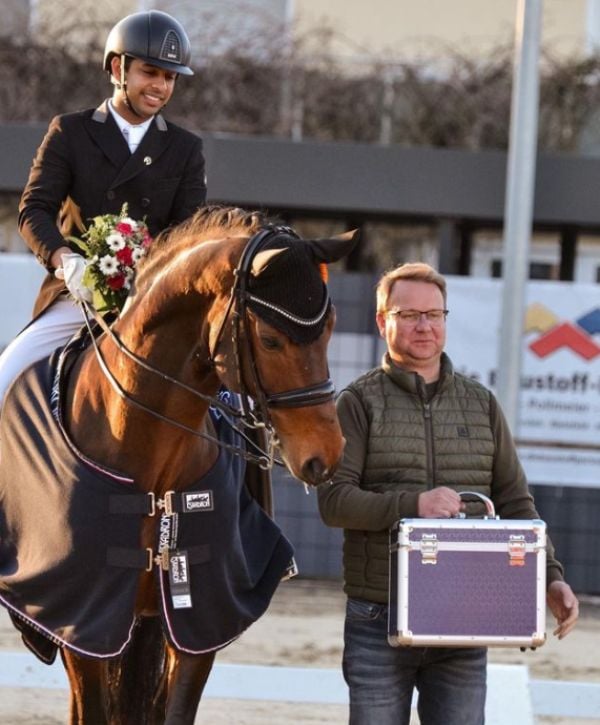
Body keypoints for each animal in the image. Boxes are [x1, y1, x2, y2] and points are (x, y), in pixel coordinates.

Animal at [0, 206, 358, 724]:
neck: (151, 460)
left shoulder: (198, 620)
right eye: (271, 340)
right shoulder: (82, 618)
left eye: (330, 328)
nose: (324, 456)